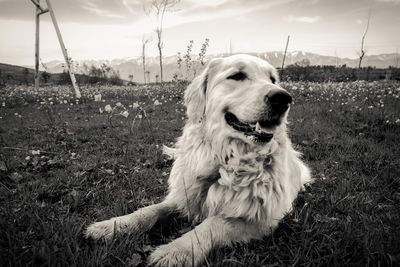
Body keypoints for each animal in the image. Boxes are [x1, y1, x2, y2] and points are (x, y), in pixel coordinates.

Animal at [85, 55, 312, 267]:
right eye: (237, 76)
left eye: (273, 79)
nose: (283, 98)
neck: (225, 161)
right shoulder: (183, 196)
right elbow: (149, 211)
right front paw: (112, 226)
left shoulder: (259, 220)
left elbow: (213, 223)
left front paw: (177, 250)